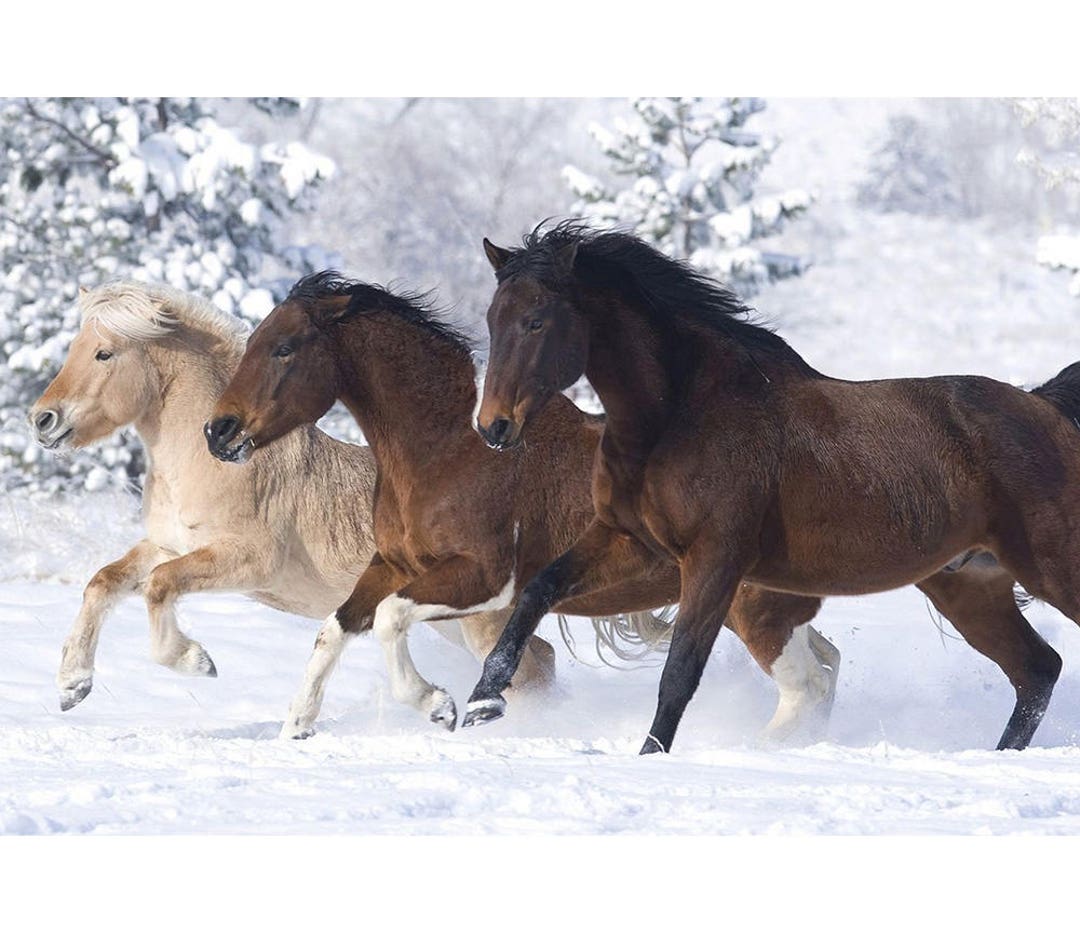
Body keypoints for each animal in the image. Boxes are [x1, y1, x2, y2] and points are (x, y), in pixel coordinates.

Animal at [31, 285, 557, 721]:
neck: (212, 462)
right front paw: (72, 686)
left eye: (104, 353)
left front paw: (197, 661)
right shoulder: (168, 545)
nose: (42, 419)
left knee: (531, 670)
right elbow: (103, 582)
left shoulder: (247, 560)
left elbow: (159, 586)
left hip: (478, 620)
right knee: (542, 659)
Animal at [204, 271, 842, 742]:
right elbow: (334, 629)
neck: (447, 449)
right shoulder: (392, 564)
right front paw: (297, 726)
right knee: (825, 666)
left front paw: (440, 706)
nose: (218, 431)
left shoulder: (484, 578)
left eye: (284, 349)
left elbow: (388, 619)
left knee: (807, 685)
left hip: (752, 608)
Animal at [466, 222, 1080, 755]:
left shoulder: (715, 559)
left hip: (1049, 567)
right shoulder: (629, 540)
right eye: (494, 319)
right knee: (1037, 671)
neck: (681, 414)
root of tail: (1046, 408)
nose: (493, 427)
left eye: (536, 321)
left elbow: (679, 673)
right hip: (969, 585)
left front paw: (648, 758)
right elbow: (537, 590)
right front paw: (481, 704)